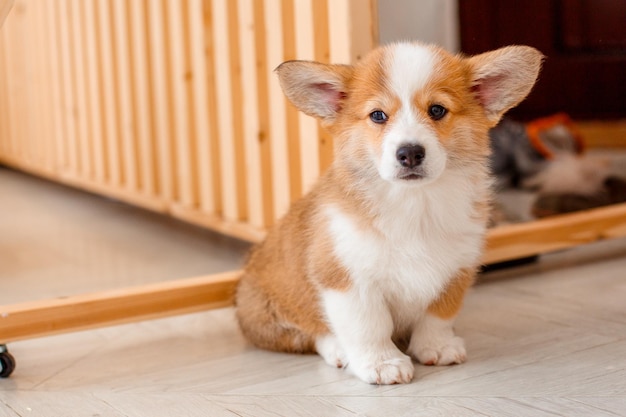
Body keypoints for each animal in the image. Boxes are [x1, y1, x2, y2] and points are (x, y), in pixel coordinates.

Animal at [235, 41, 540, 384]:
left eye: (437, 110)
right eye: (378, 115)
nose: (410, 153)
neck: (415, 204)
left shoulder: (455, 269)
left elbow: (438, 315)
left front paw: (437, 347)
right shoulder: (347, 277)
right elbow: (368, 325)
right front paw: (382, 363)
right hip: (267, 316)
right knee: (311, 335)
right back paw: (339, 350)